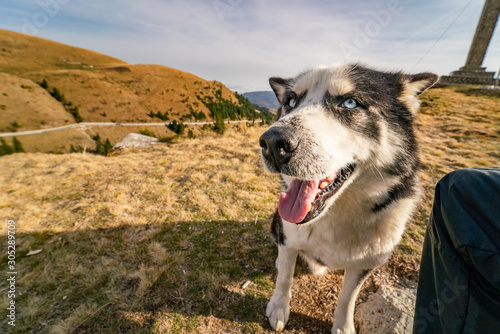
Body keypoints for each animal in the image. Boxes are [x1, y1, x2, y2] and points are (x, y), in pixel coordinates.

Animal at [260, 64, 436, 332]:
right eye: (291, 101)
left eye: (350, 103)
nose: (272, 143)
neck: (336, 214)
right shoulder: (289, 235)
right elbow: (285, 278)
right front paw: (278, 308)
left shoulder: (366, 262)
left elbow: (348, 297)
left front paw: (343, 326)